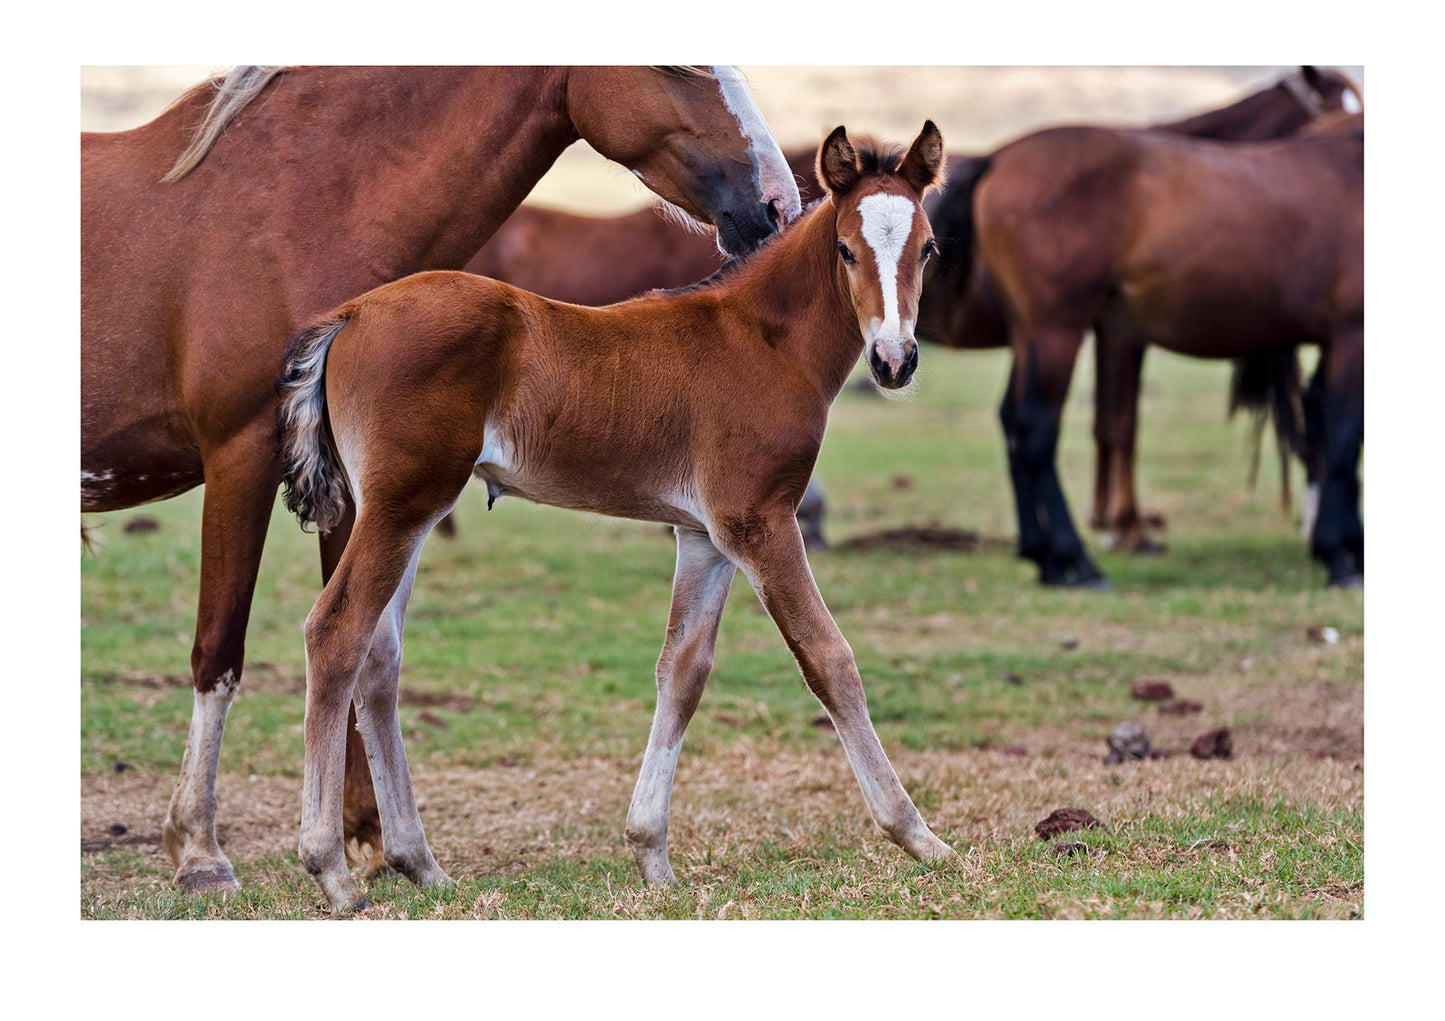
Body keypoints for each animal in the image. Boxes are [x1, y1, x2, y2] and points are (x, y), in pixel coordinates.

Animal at [81, 65, 803, 895]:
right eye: (675, 66)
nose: (779, 204)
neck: (298, 203)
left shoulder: (362, 494)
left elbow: (365, 652)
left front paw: (372, 834)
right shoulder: (242, 457)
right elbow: (220, 651)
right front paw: (200, 849)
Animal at [274, 123, 951, 913]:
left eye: (928, 247)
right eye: (845, 248)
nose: (895, 358)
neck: (760, 339)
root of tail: (350, 314)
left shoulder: (705, 535)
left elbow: (682, 671)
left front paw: (651, 854)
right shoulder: (761, 520)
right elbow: (829, 658)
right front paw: (918, 835)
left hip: (402, 511)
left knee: (379, 658)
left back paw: (421, 862)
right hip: (402, 505)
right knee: (337, 632)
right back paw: (331, 868)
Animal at [918, 66, 1363, 582]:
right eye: (1329, 103)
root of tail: (998, 157)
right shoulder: (1351, 334)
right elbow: (1343, 434)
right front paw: (1339, 554)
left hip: (1033, 335)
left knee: (1015, 423)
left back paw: (1044, 555)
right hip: (1055, 330)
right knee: (1034, 428)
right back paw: (1073, 559)